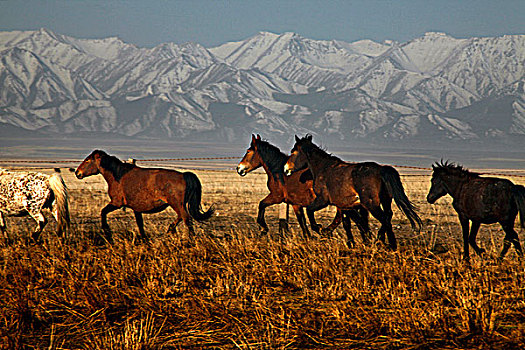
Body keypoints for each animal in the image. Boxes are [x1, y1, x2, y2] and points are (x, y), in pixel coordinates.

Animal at [74, 150, 213, 243]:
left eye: (88, 160)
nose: (77, 173)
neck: (118, 176)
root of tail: (184, 175)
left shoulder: (117, 203)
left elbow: (103, 212)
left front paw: (107, 232)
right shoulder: (136, 208)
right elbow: (140, 224)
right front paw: (144, 239)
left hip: (176, 204)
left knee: (186, 218)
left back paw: (190, 239)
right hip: (178, 205)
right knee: (182, 217)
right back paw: (170, 230)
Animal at [237, 135, 368, 246]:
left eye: (248, 151)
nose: (239, 169)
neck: (280, 173)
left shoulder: (277, 197)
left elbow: (261, 204)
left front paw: (263, 228)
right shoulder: (295, 203)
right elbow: (302, 221)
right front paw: (308, 238)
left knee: (343, 218)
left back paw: (327, 232)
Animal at [284, 134, 420, 249]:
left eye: (293, 151)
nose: (286, 169)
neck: (323, 168)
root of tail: (381, 169)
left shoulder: (322, 200)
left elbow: (309, 211)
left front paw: (321, 229)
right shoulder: (344, 206)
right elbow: (349, 223)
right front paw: (352, 242)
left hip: (372, 204)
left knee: (384, 218)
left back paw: (386, 244)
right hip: (385, 200)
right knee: (388, 216)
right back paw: (385, 242)